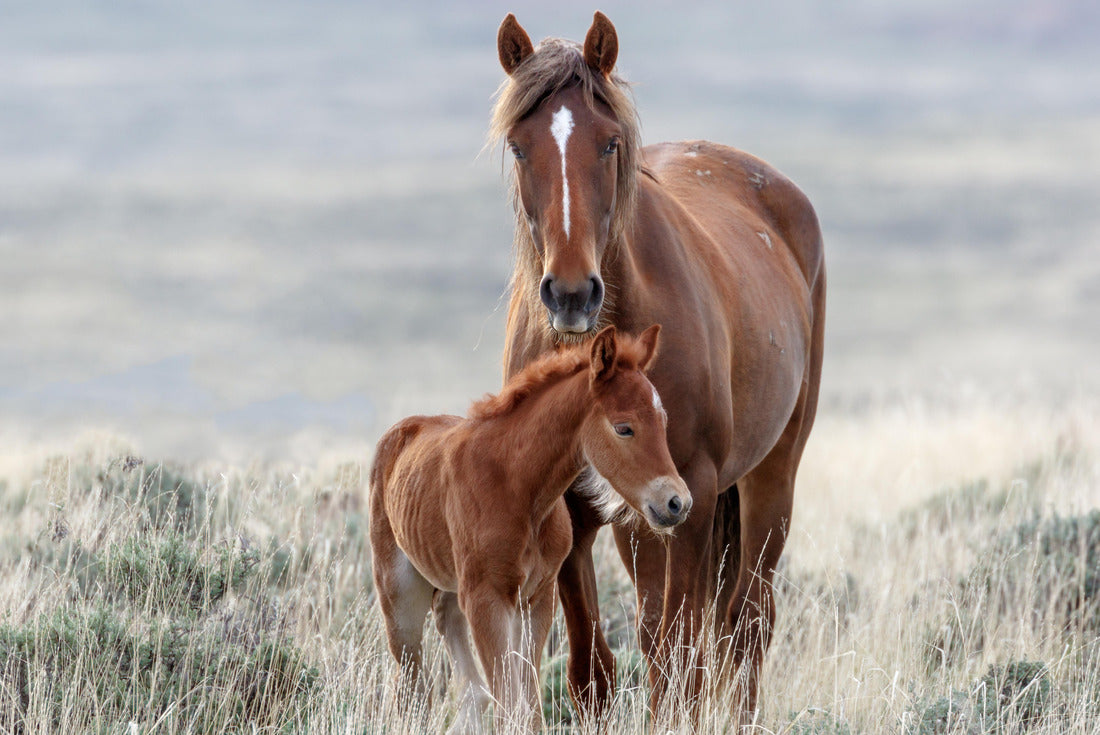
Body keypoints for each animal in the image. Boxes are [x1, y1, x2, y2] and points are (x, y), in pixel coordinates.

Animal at [369, 325, 691, 733]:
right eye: (624, 428)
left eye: (663, 422)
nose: (677, 503)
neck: (519, 490)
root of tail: (399, 431)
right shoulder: (487, 599)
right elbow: (510, 705)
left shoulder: (537, 599)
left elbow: (529, 705)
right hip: (399, 595)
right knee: (412, 681)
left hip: (453, 587)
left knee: (456, 651)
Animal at [490, 11, 826, 721]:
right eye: (519, 146)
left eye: (610, 144)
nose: (570, 294)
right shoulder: (573, 503)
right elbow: (594, 670)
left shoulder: (691, 491)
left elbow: (680, 657)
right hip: (644, 520)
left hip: (767, 481)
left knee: (743, 625)